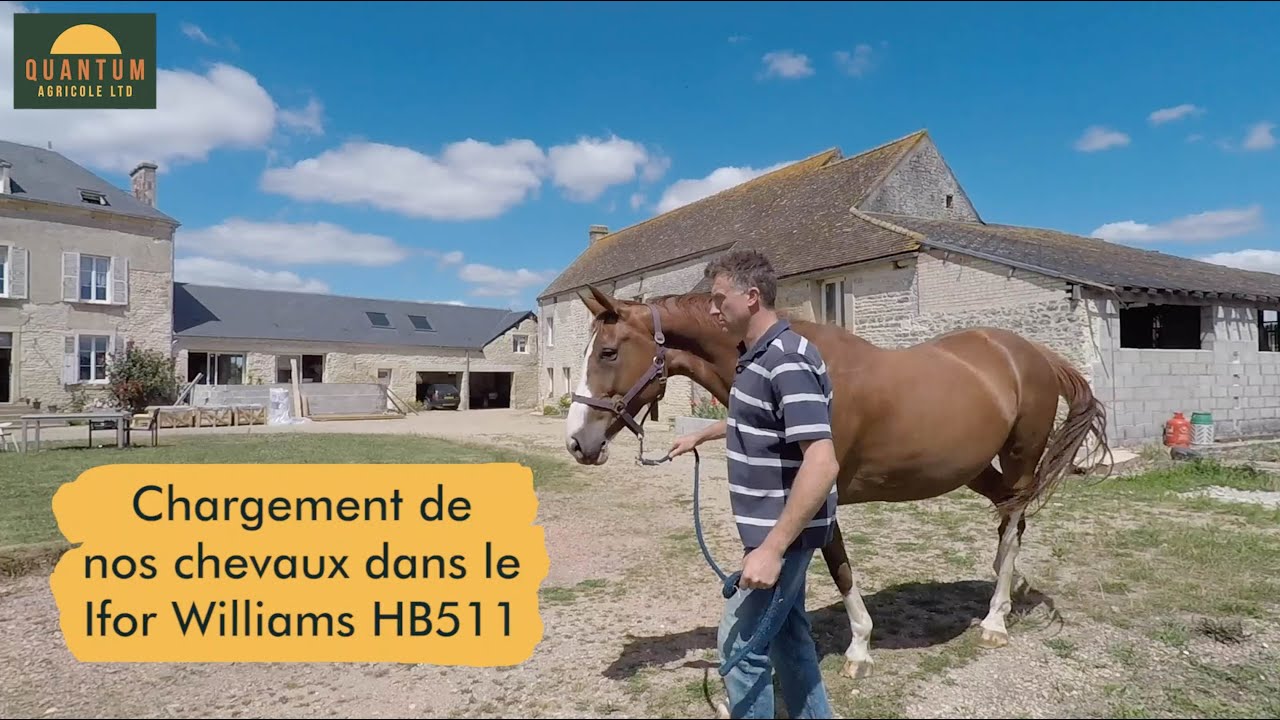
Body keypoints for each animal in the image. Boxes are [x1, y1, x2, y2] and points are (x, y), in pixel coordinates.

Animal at [563, 284, 1111, 681]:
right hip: (974, 468)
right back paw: (1010, 583)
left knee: (1014, 518)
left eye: (608, 352)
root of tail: (1032, 353)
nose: (577, 442)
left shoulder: (818, 496)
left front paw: (859, 649)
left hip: (1020, 457)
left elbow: (839, 567)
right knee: (1008, 521)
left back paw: (996, 618)